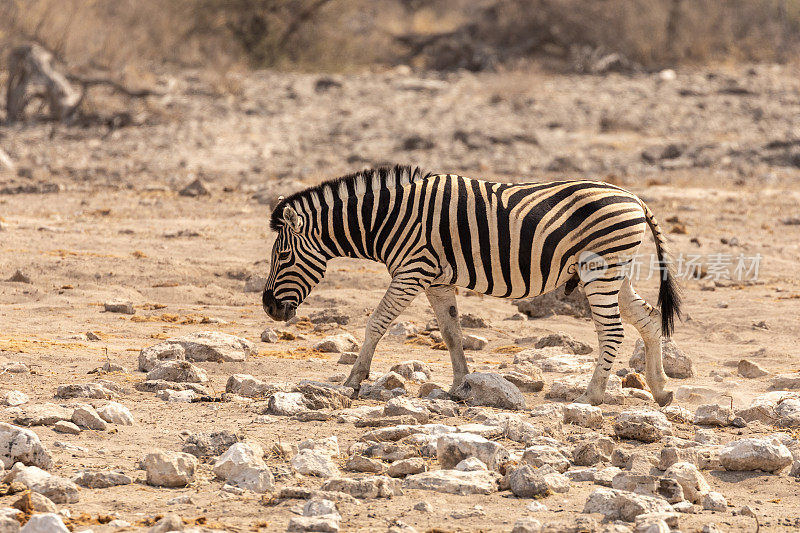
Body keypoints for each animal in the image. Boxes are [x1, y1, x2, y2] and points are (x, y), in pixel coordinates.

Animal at [262, 164, 680, 406]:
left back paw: (590, 397)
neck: (386, 219)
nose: (268, 307)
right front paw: (461, 386)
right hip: (614, 272)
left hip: (600, 268)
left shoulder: (411, 271)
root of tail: (636, 198)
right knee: (649, 317)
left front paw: (353, 380)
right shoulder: (435, 279)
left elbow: (376, 323)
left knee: (612, 331)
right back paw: (660, 389)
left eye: (282, 257)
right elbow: (451, 333)